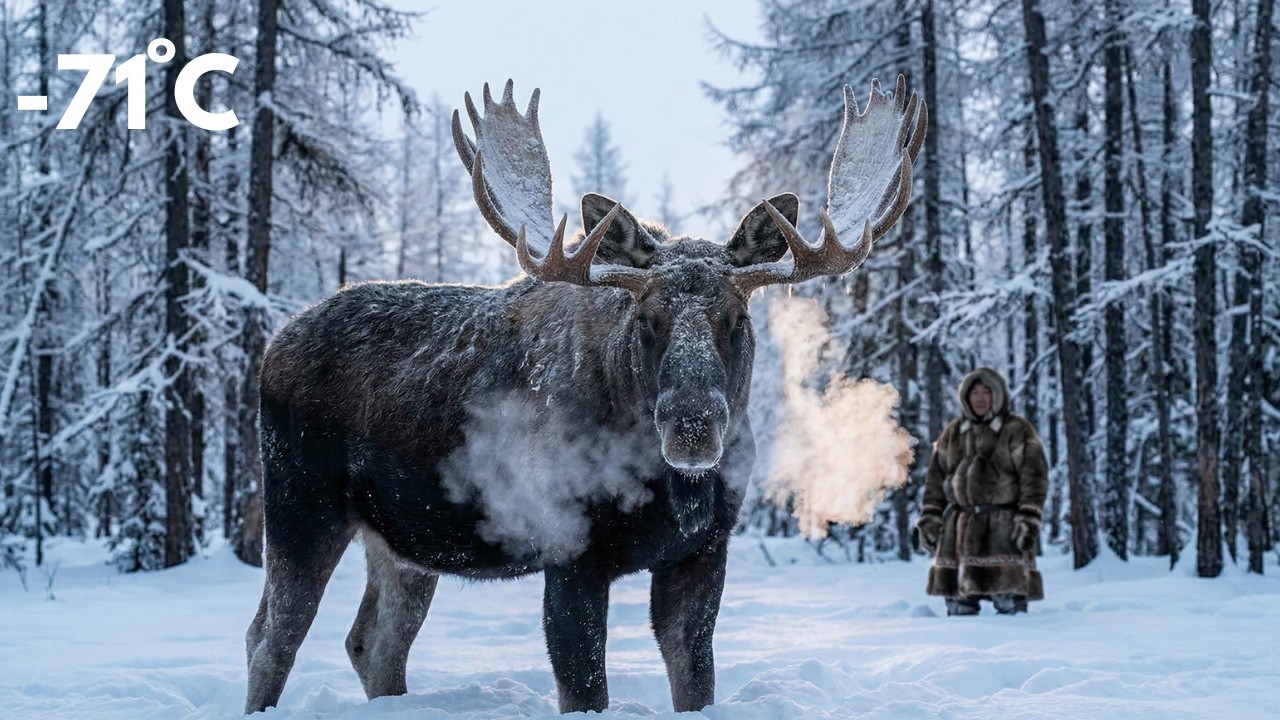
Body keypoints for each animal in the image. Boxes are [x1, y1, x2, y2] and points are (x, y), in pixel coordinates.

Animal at [244, 76, 925, 715]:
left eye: (736, 319)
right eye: (646, 319)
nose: (693, 426)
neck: (658, 482)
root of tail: (274, 345)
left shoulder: (703, 550)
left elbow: (696, 680)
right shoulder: (571, 548)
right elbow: (584, 686)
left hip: (404, 542)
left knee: (373, 643)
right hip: (300, 502)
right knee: (271, 636)